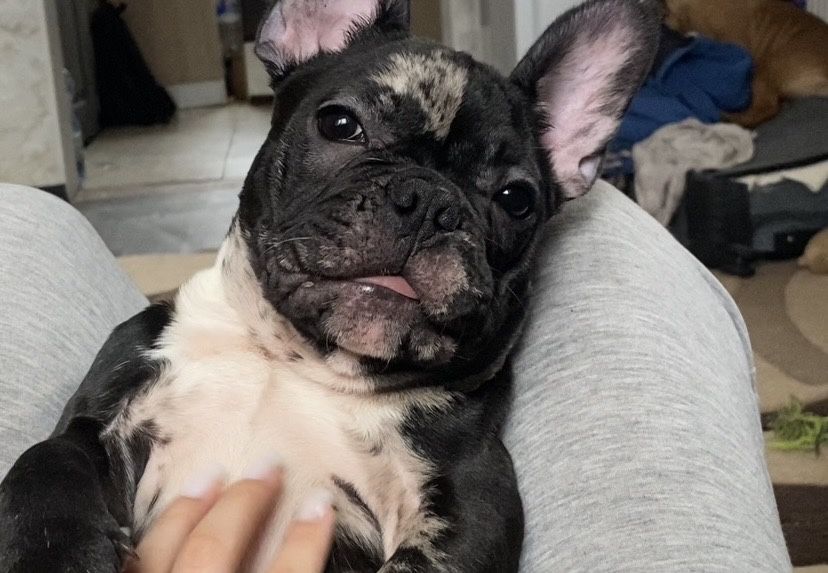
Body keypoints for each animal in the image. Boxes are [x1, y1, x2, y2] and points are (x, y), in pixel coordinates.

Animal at [0, 1, 658, 571]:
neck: (293, 360)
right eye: (340, 124)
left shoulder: (471, 498)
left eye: (516, 199)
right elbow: (46, 462)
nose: (430, 203)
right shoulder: (100, 417)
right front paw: (55, 556)